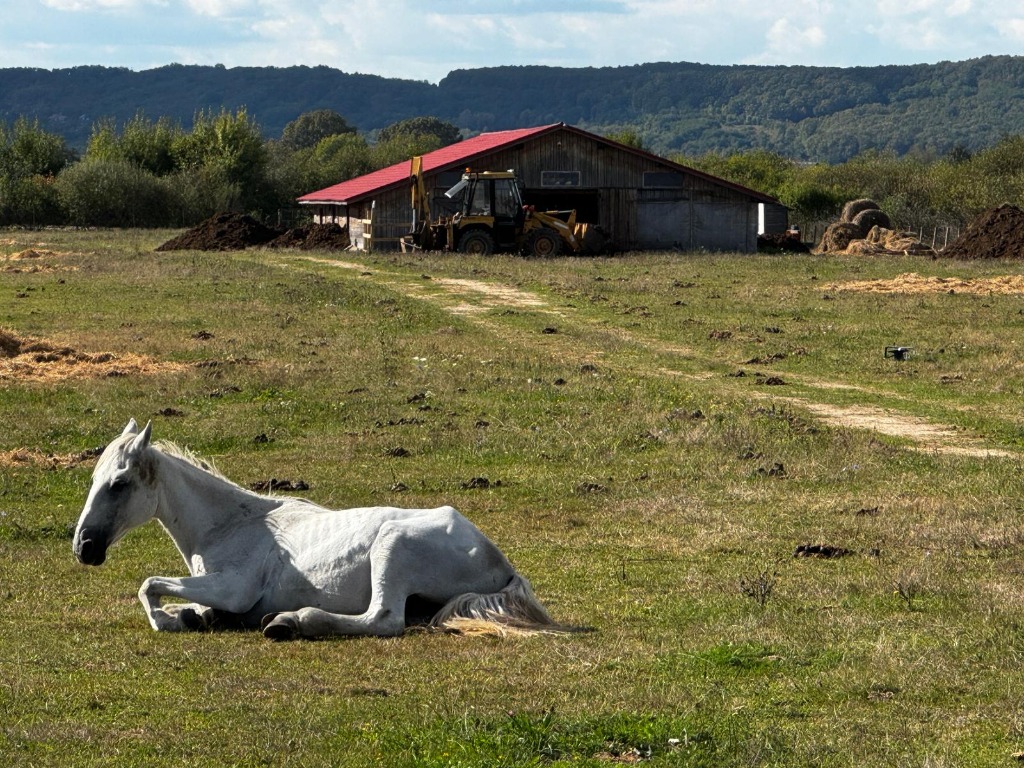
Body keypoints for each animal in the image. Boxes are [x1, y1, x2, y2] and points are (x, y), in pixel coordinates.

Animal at [72, 419, 557, 639]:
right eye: (93, 478)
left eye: (119, 484)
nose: (84, 548)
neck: (230, 524)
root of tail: (500, 561)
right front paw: (192, 615)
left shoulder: (233, 588)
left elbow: (149, 584)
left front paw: (167, 620)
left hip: (392, 547)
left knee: (384, 619)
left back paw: (291, 621)